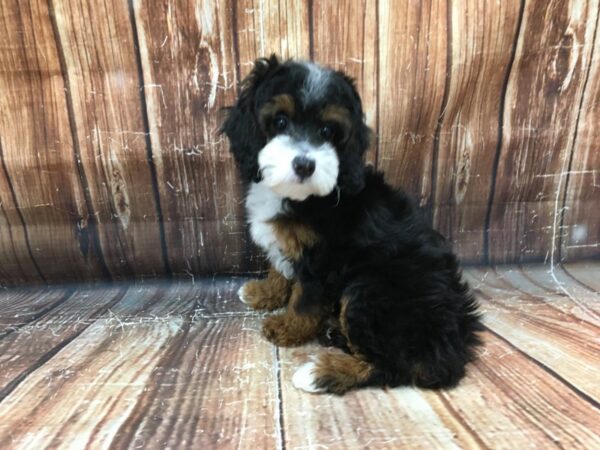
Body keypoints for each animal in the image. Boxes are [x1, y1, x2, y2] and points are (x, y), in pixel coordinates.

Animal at [221, 55, 482, 394]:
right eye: (280, 122)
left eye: (327, 130)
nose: (304, 165)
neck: (302, 196)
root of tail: (454, 347)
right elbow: (279, 269)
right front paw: (265, 292)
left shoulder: (322, 261)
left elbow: (305, 300)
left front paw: (288, 327)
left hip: (371, 291)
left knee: (389, 366)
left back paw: (320, 372)